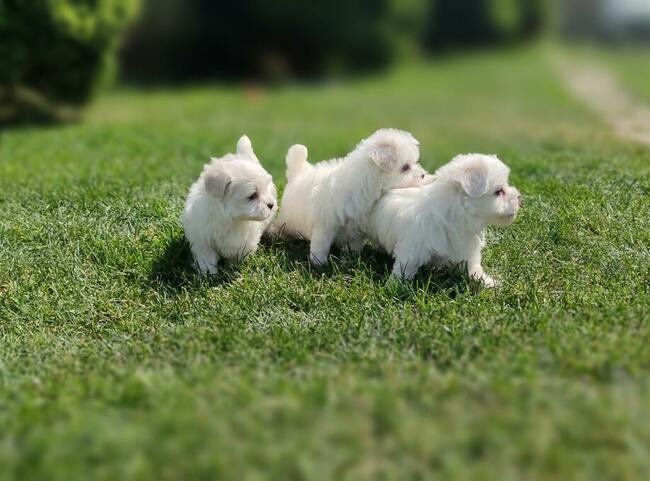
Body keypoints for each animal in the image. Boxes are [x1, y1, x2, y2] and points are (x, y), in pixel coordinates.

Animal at [181, 135, 278, 274]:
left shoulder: (242, 243)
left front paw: (231, 269)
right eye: (252, 196)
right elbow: (206, 256)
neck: (229, 219)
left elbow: (235, 256)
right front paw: (208, 272)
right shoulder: (202, 238)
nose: (271, 204)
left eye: (265, 188)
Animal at [274, 127, 430, 264]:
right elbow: (321, 244)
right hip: (288, 219)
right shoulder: (325, 224)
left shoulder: (357, 228)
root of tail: (297, 173)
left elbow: (353, 246)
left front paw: (349, 260)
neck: (364, 184)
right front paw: (318, 263)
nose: (423, 175)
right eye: (405, 167)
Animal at [368, 154, 520, 286]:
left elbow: (473, 267)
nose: (520, 198)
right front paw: (395, 285)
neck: (452, 217)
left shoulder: (467, 248)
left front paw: (487, 281)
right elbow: (405, 266)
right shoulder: (413, 246)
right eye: (499, 191)